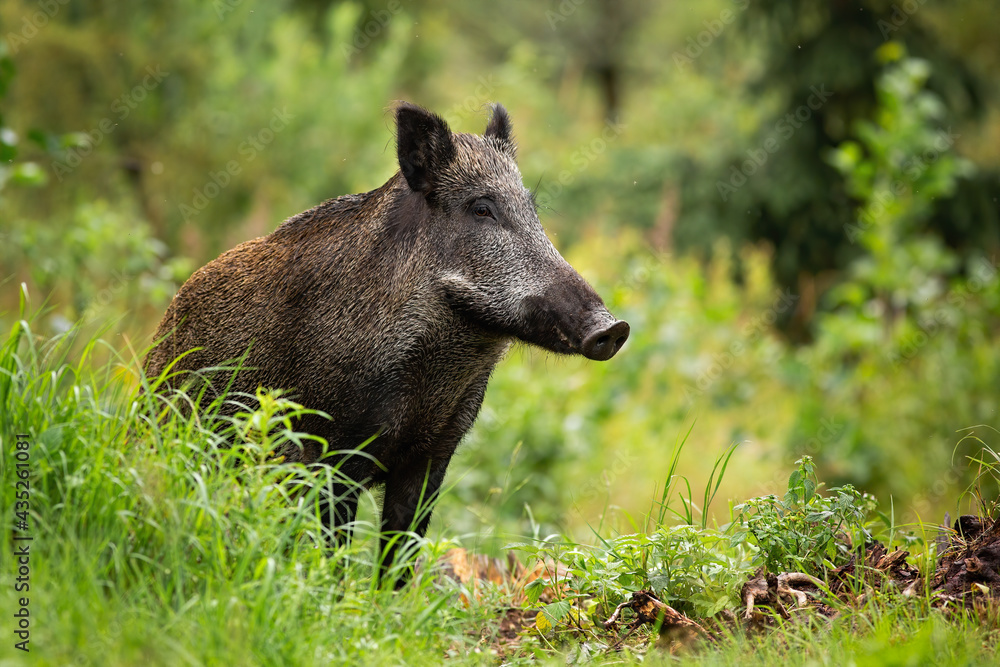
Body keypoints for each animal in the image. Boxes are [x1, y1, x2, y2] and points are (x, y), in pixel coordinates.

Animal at [144, 102, 629, 584]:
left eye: (532, 208)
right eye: (482, 209)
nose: (614, 328)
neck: (434, 372)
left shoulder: (434, 452)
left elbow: (400, 549)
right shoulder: (331, 450)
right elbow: (336, 546)